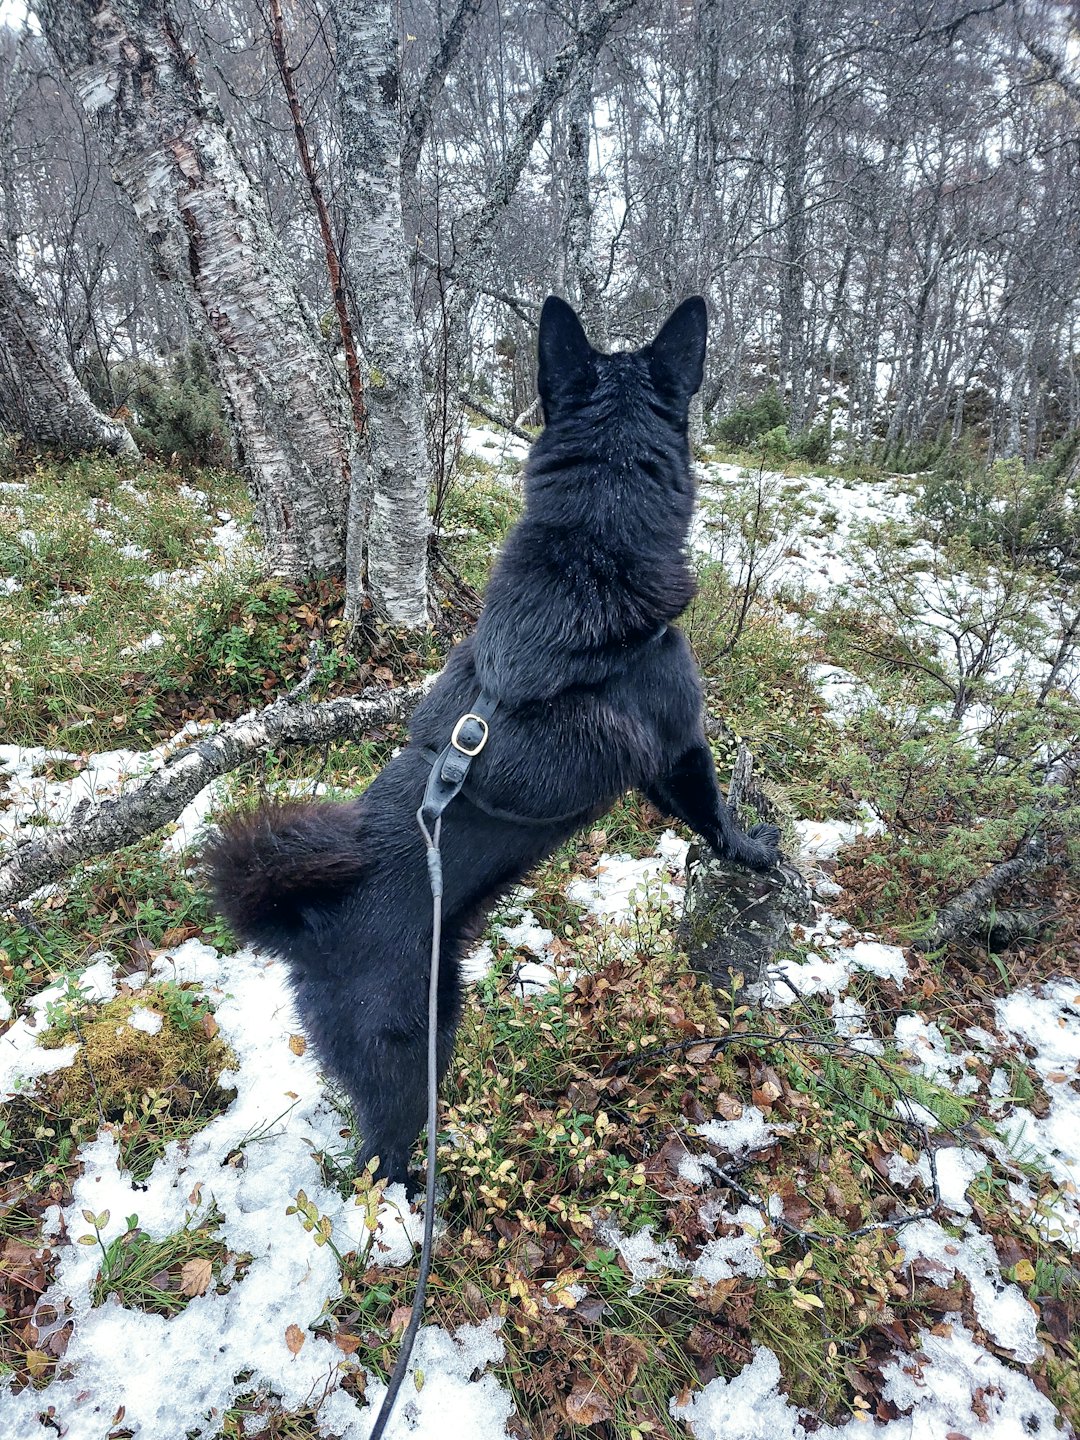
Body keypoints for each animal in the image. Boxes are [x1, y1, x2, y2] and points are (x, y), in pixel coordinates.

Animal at [204, 298, 777, 1186]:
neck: (592, 539)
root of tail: (306, 927)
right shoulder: (680, 746)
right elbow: (714, 816)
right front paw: (753, 851)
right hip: (415, 1056)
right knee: (378, 1158)